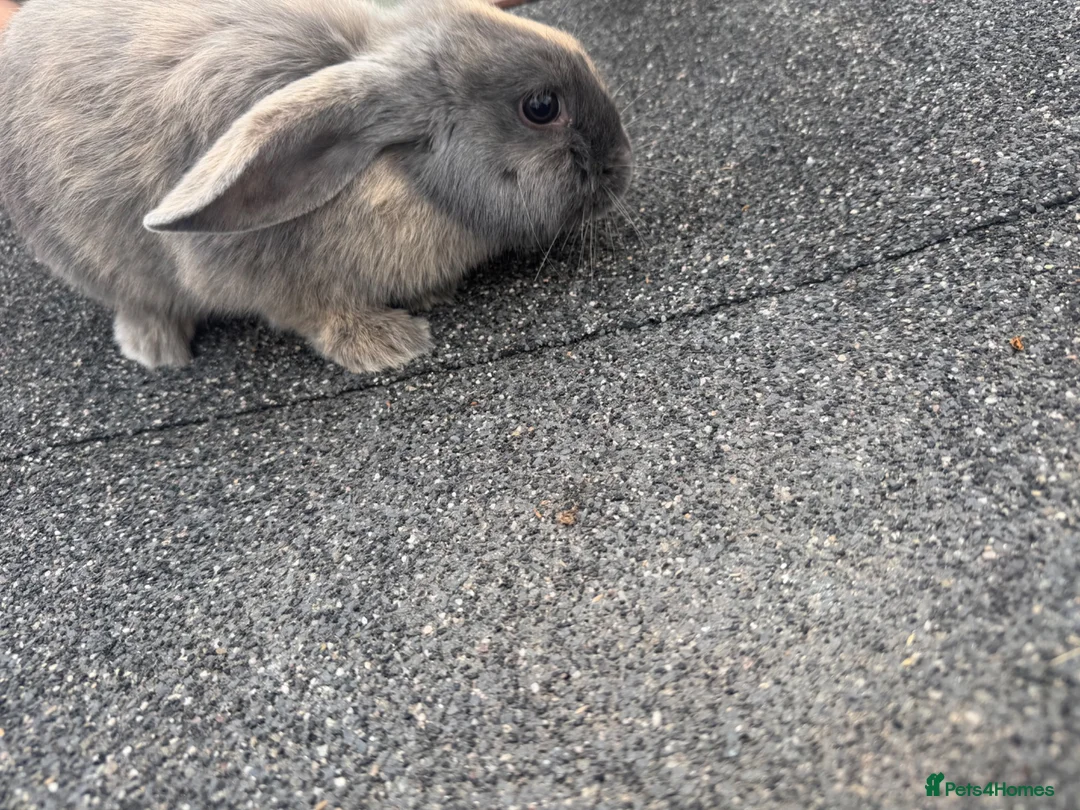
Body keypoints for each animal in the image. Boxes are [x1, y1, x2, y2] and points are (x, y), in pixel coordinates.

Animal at [0, 0, 632, 372]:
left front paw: (434, 296)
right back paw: (160, 351)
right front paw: (395, 344)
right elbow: (322, 319)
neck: (394, 172)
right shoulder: (279, 286)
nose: (621, 167)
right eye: (541, 107)